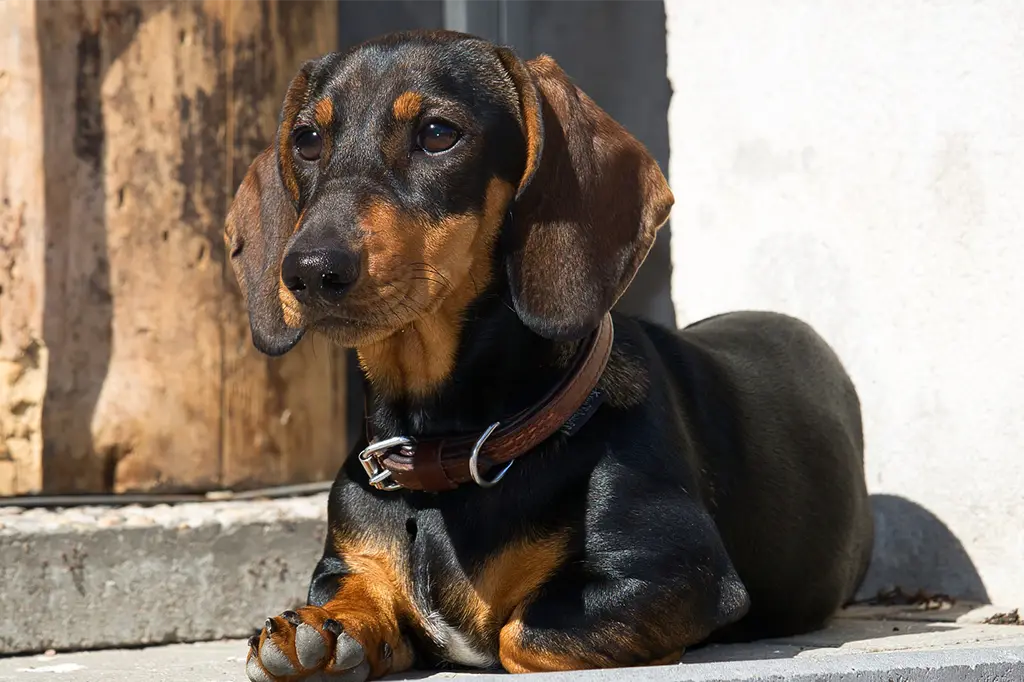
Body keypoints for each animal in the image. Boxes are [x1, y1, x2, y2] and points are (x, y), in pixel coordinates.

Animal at [226, 29, 872, 675]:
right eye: (307, 140)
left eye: (437, 133)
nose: (309, 270)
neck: (449, 455)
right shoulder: (344, 564)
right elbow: (352, 594)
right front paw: (323, 632)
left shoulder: (674, 574)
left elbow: (520, 634)